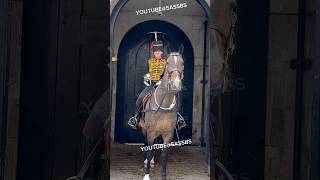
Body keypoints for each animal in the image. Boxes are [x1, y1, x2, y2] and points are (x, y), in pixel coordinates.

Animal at [138, 52, 185, 180]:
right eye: (167, 63)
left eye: (182, 63)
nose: (175, 85)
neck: (164, 104)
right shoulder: (150, 131)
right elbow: (149, 151)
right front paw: (146, 175)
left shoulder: (168, 134)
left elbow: (164, 155)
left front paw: (163, 175)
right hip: (145, 129)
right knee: (147, 144)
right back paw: (147, 161)